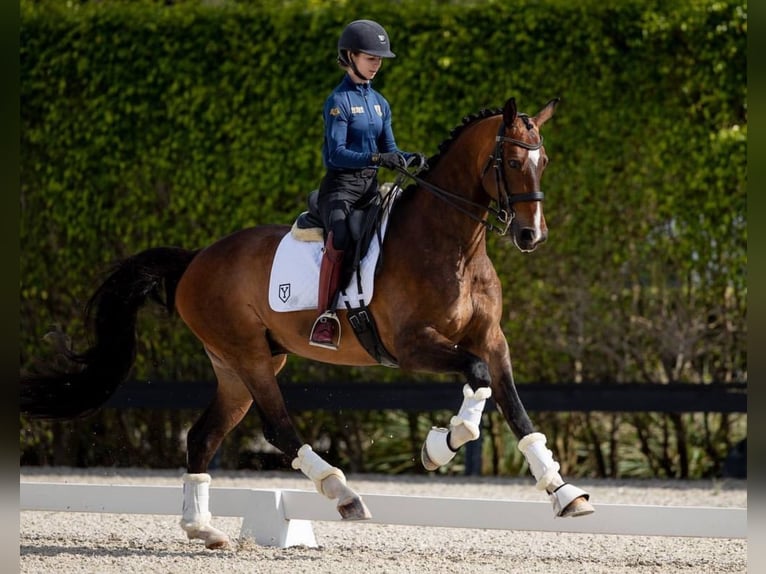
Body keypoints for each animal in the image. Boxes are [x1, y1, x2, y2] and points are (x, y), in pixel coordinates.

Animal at [19, 97, 592, 552]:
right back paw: (344, 494)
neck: (453, 246)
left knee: (203, 436)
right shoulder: (412, 345)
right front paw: (439, 446)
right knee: (276, 427)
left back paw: (204, 529)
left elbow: (514, 407)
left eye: (545, 161)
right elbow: (476, 382)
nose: (531, 235)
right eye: (513, 160)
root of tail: (196, 259)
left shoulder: (492, 340)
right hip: (249, 356)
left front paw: (564, 493)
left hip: (238, 366)